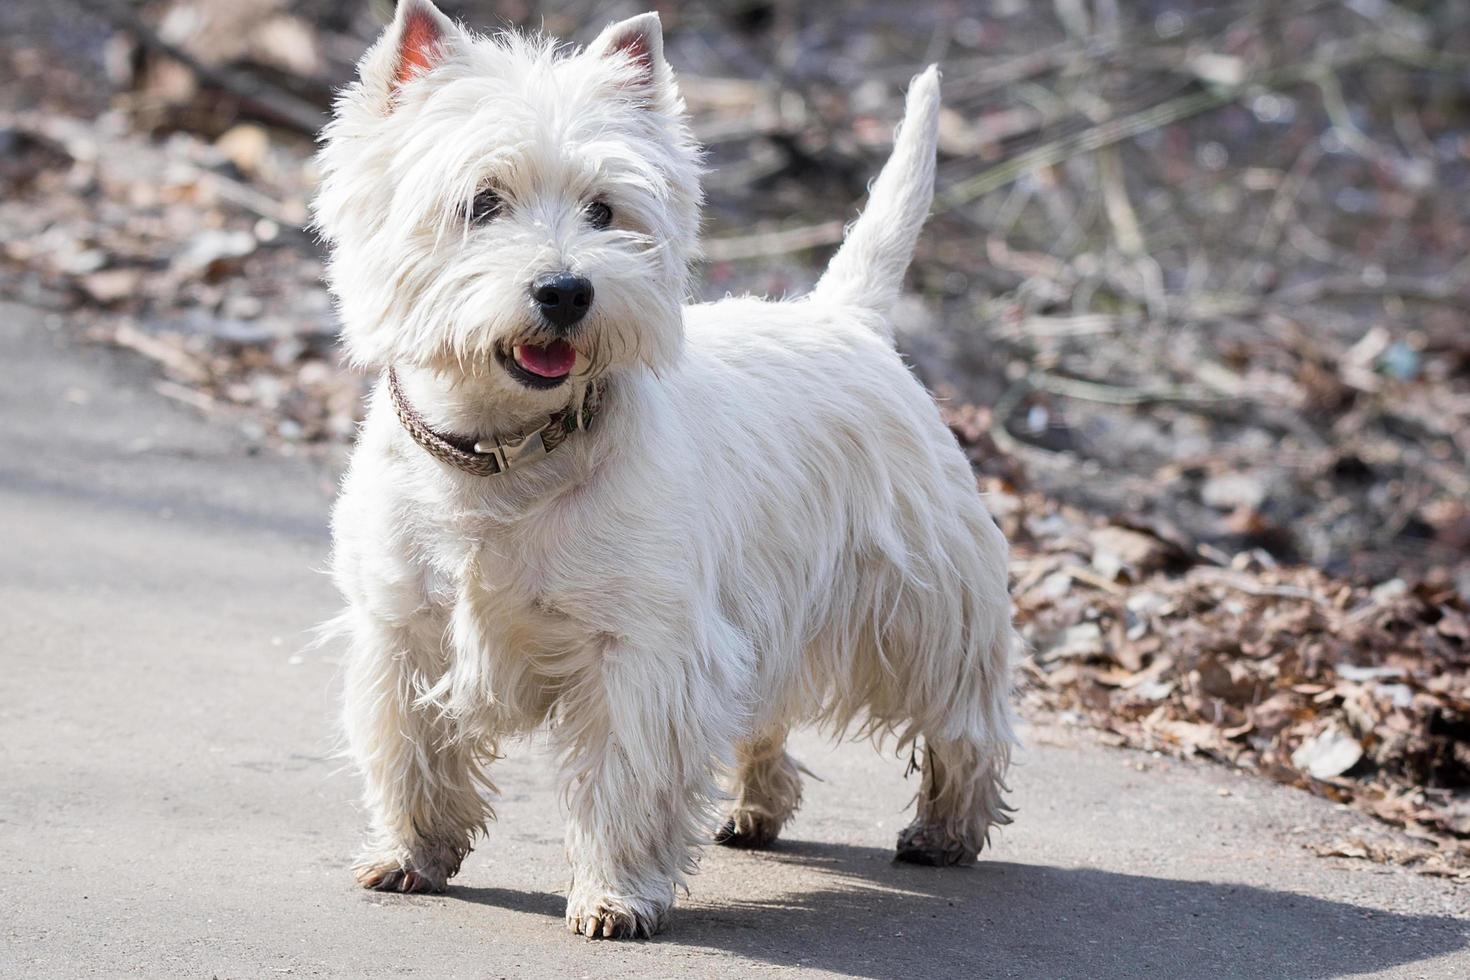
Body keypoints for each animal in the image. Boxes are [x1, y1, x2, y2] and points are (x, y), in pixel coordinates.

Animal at [316, 0, 1017, 940]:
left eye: (604, 209)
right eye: (482, 202)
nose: (566, 291)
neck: (503, 456)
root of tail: (848, 318)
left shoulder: (643, 648)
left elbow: (627, 776)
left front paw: (614, 896)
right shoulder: (404, 630)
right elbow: (409, 748)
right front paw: (410, 855)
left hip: (923, 602)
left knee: (963, 715)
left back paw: (946, 829)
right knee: (766, 714)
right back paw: (756, 809)